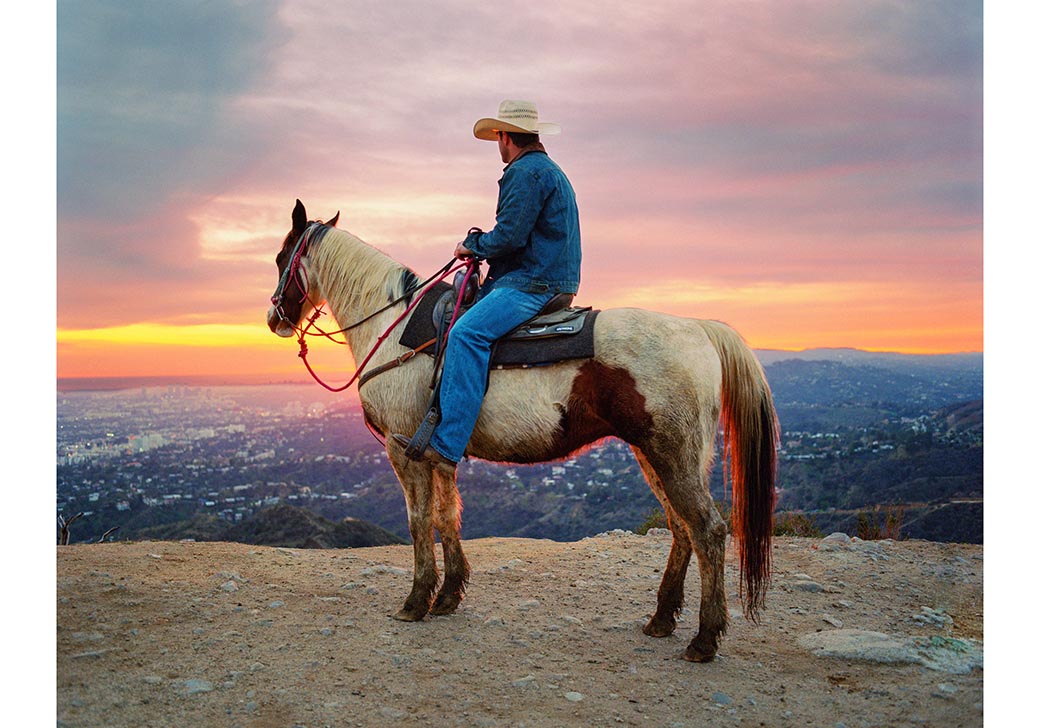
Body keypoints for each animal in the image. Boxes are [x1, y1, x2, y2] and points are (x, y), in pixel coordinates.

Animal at [264, 200, 777, 665]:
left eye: (280, 257)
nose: (274, 319)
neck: (394, 328)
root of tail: (700, 330)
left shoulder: (402, 448)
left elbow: (418, 521)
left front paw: (416, 601)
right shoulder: (437, 451)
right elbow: (447, 517)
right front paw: (448, 596)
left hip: (673, 455)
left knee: (708, 529)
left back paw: (704, 638)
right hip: (653, 454)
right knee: (680, 527)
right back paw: (662, 619)